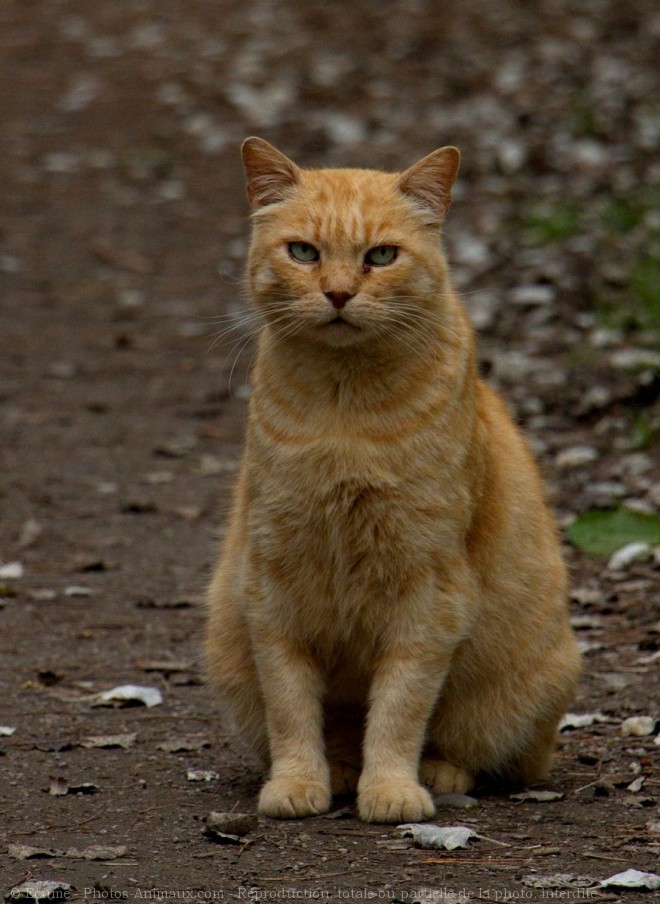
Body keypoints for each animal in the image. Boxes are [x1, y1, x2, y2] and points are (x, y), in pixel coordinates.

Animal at [204, 138, 580, 824]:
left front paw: (392, 789)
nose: (337, 293)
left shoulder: (428, 593)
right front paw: (299, 782)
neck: (344, 412)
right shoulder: (274, 584)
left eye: (381, 256)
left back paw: (437, 770)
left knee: (483, 752)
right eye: (304, 252)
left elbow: (401, 707)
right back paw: (342, 769)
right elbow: (291, 706)